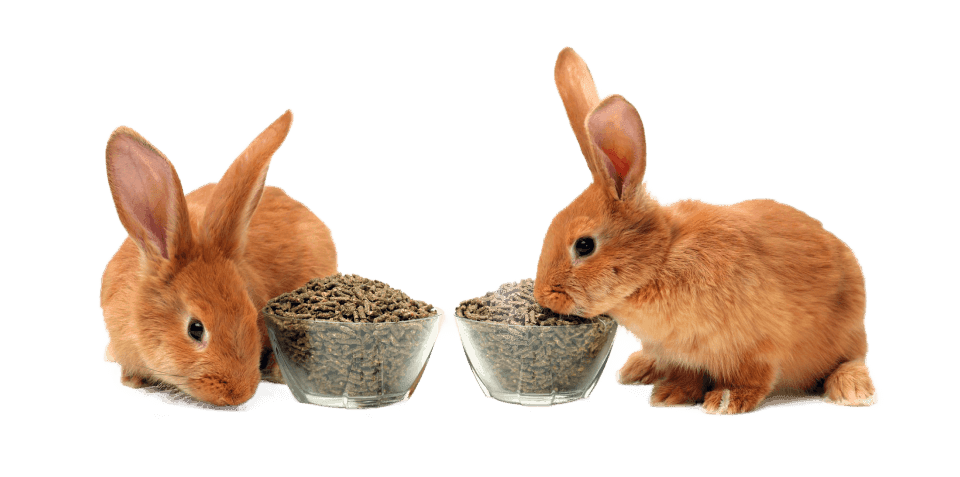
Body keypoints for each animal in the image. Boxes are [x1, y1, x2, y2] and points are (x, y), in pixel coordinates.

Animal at [533, 46, 879, 415]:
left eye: (584, 245)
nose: (543, 296)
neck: (661, 260)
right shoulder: (683, 355)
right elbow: (687, 375)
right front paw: (670, 394)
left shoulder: (756, 346)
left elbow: (751, 377)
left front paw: (725, 400)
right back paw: (638, 368)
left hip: (846, 333)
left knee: (851, 359)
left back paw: (854, 390)